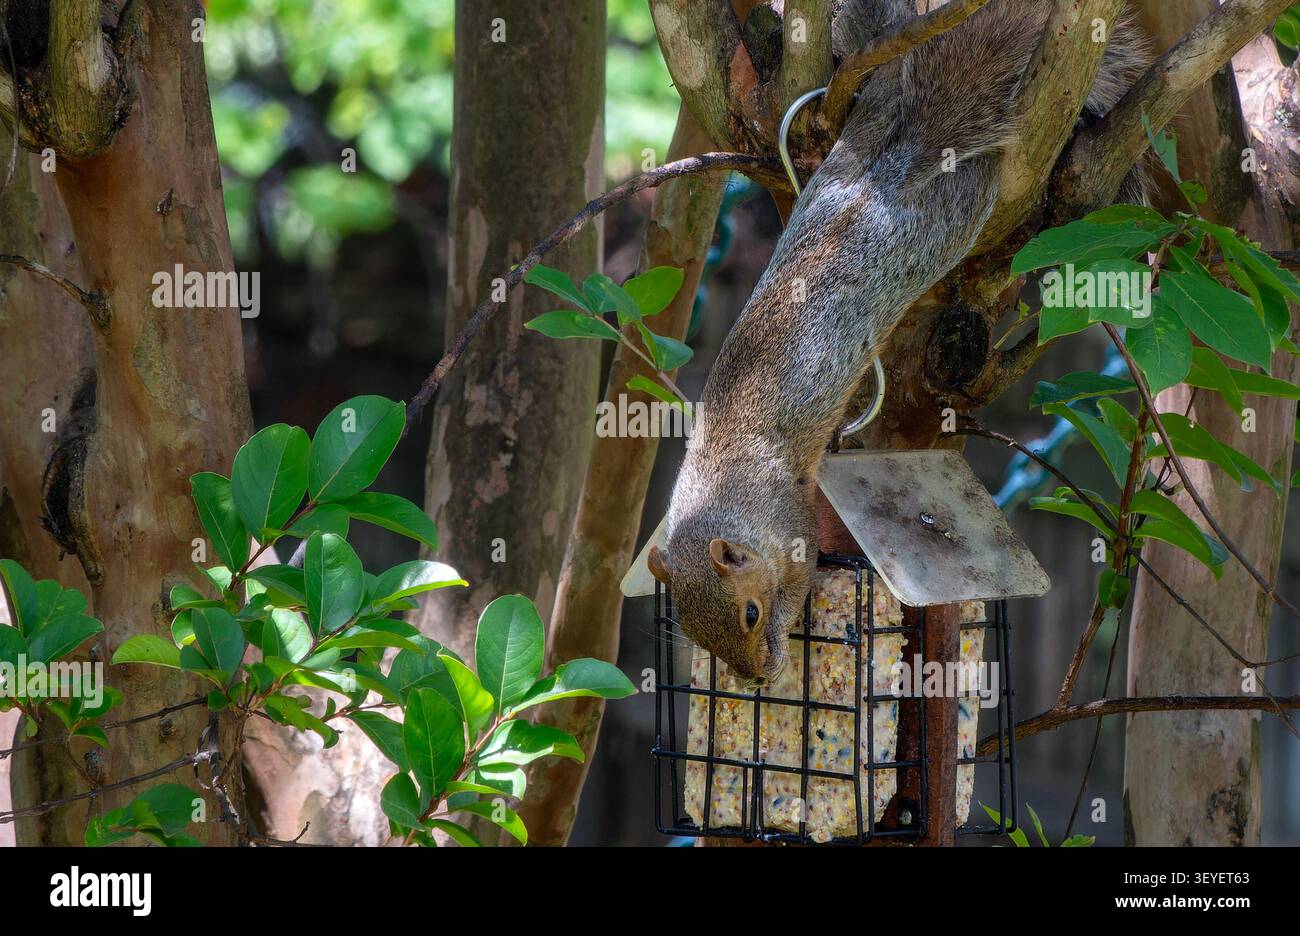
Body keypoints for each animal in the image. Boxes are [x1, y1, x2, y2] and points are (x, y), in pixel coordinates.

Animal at [647, 0, 1149, 687]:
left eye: (751, 613)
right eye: (693, 631)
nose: (755, 675)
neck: (721, 495)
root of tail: (904, 161)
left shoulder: (792, 524)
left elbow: (801, 576)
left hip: (945, 218)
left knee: (962, 190)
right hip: (865, 133)